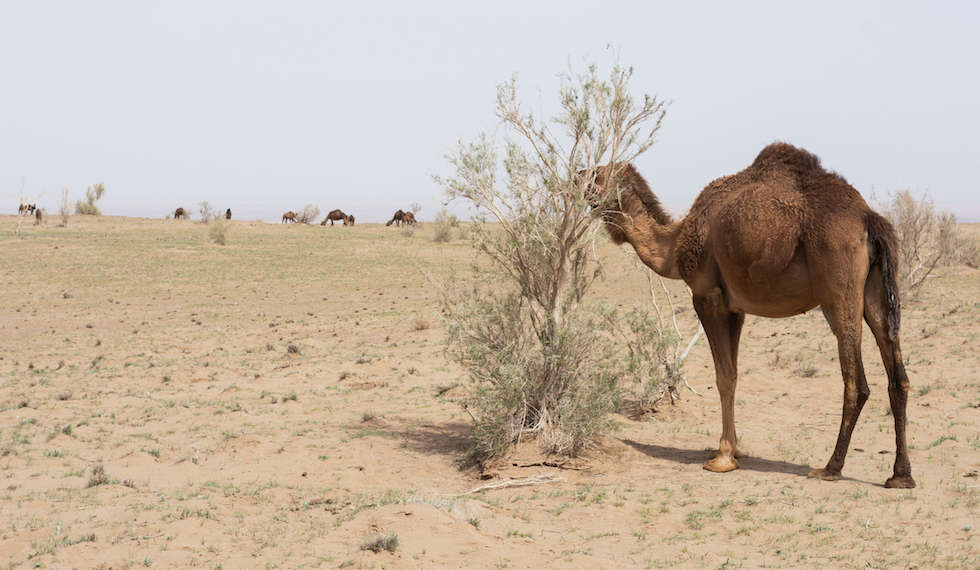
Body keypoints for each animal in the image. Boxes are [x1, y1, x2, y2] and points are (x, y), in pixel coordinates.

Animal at [590, 142, 914, 489]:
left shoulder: (708, 297)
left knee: (857, 382)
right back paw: (901, 476)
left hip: (838, 284)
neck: (674, 246)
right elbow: (732, 376)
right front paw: (733, 449)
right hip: (875, 290)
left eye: (597, 174)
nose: (576, 178)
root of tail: (869, 217)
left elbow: (722, 376)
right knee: (898, 376)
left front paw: (721, 459)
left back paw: (830, 468)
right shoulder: (736, 308)